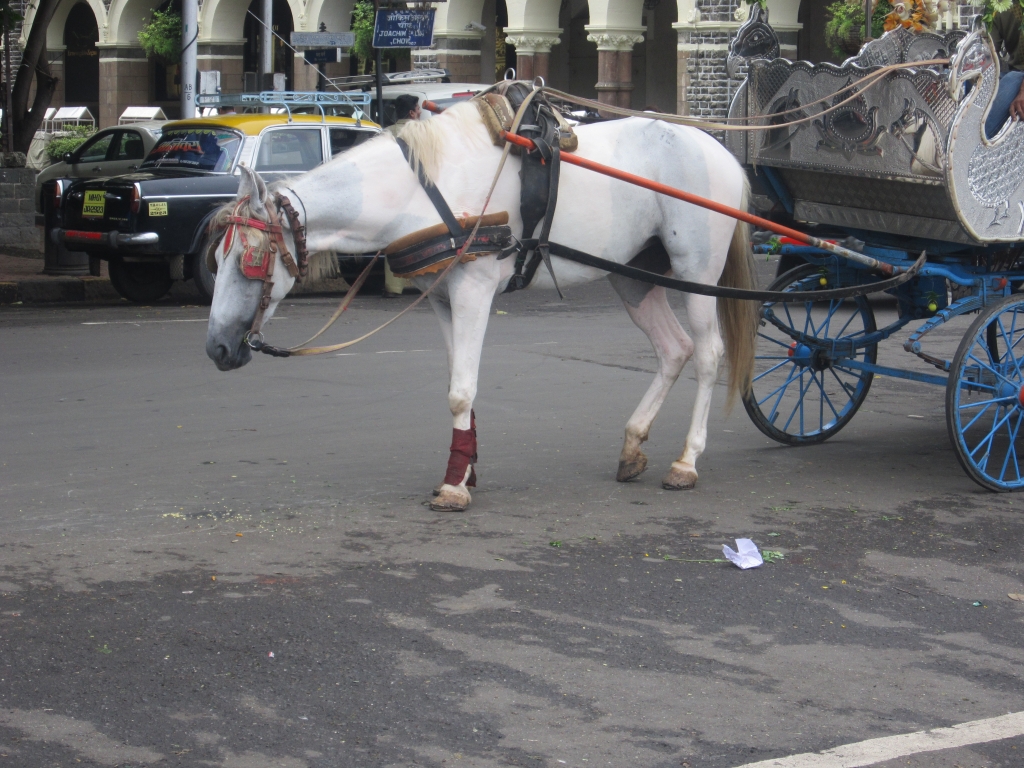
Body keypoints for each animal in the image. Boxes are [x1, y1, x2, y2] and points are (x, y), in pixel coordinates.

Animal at [203, 100, 757, 512]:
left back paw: (686, 462)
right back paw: (634, 443)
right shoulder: (442, 298)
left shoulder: (473, 289)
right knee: (673, 349)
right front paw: (465, 469)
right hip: (633, 275)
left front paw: (453, 486)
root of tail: (719, 149)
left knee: (708, 354)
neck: (421, 189)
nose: (217, 348)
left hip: (698, 272)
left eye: (249, 260)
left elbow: (460, 392)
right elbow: (457, 385)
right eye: (217, 257)